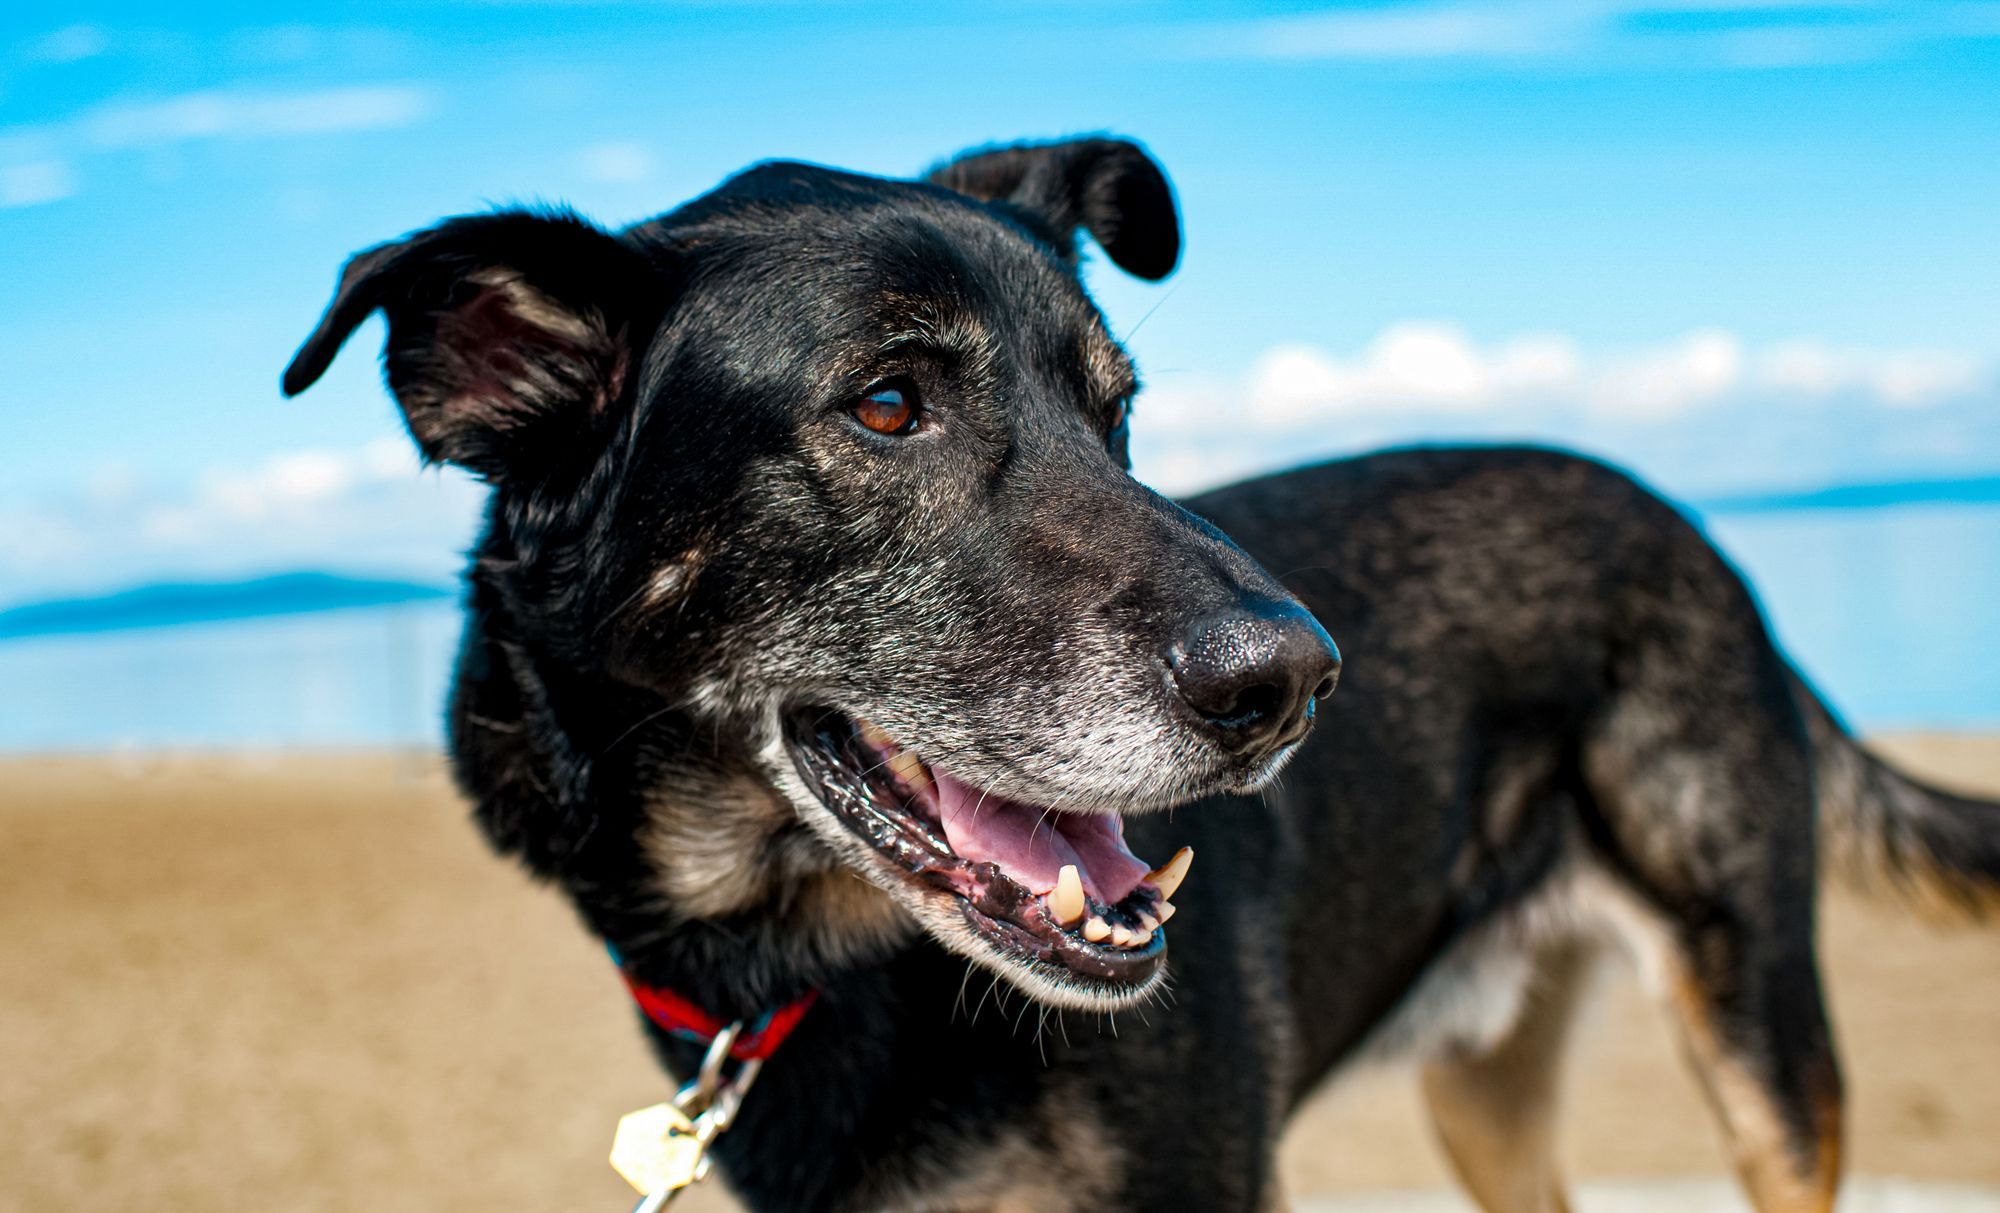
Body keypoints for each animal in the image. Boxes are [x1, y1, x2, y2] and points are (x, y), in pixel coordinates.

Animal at [286, 140, 2000, 1213]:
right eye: (888, 404)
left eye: (1118, 413)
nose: (1297, 681)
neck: (802, 966)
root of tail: (1682, 520)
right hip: (1489, 1089)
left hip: (1761, 1037)